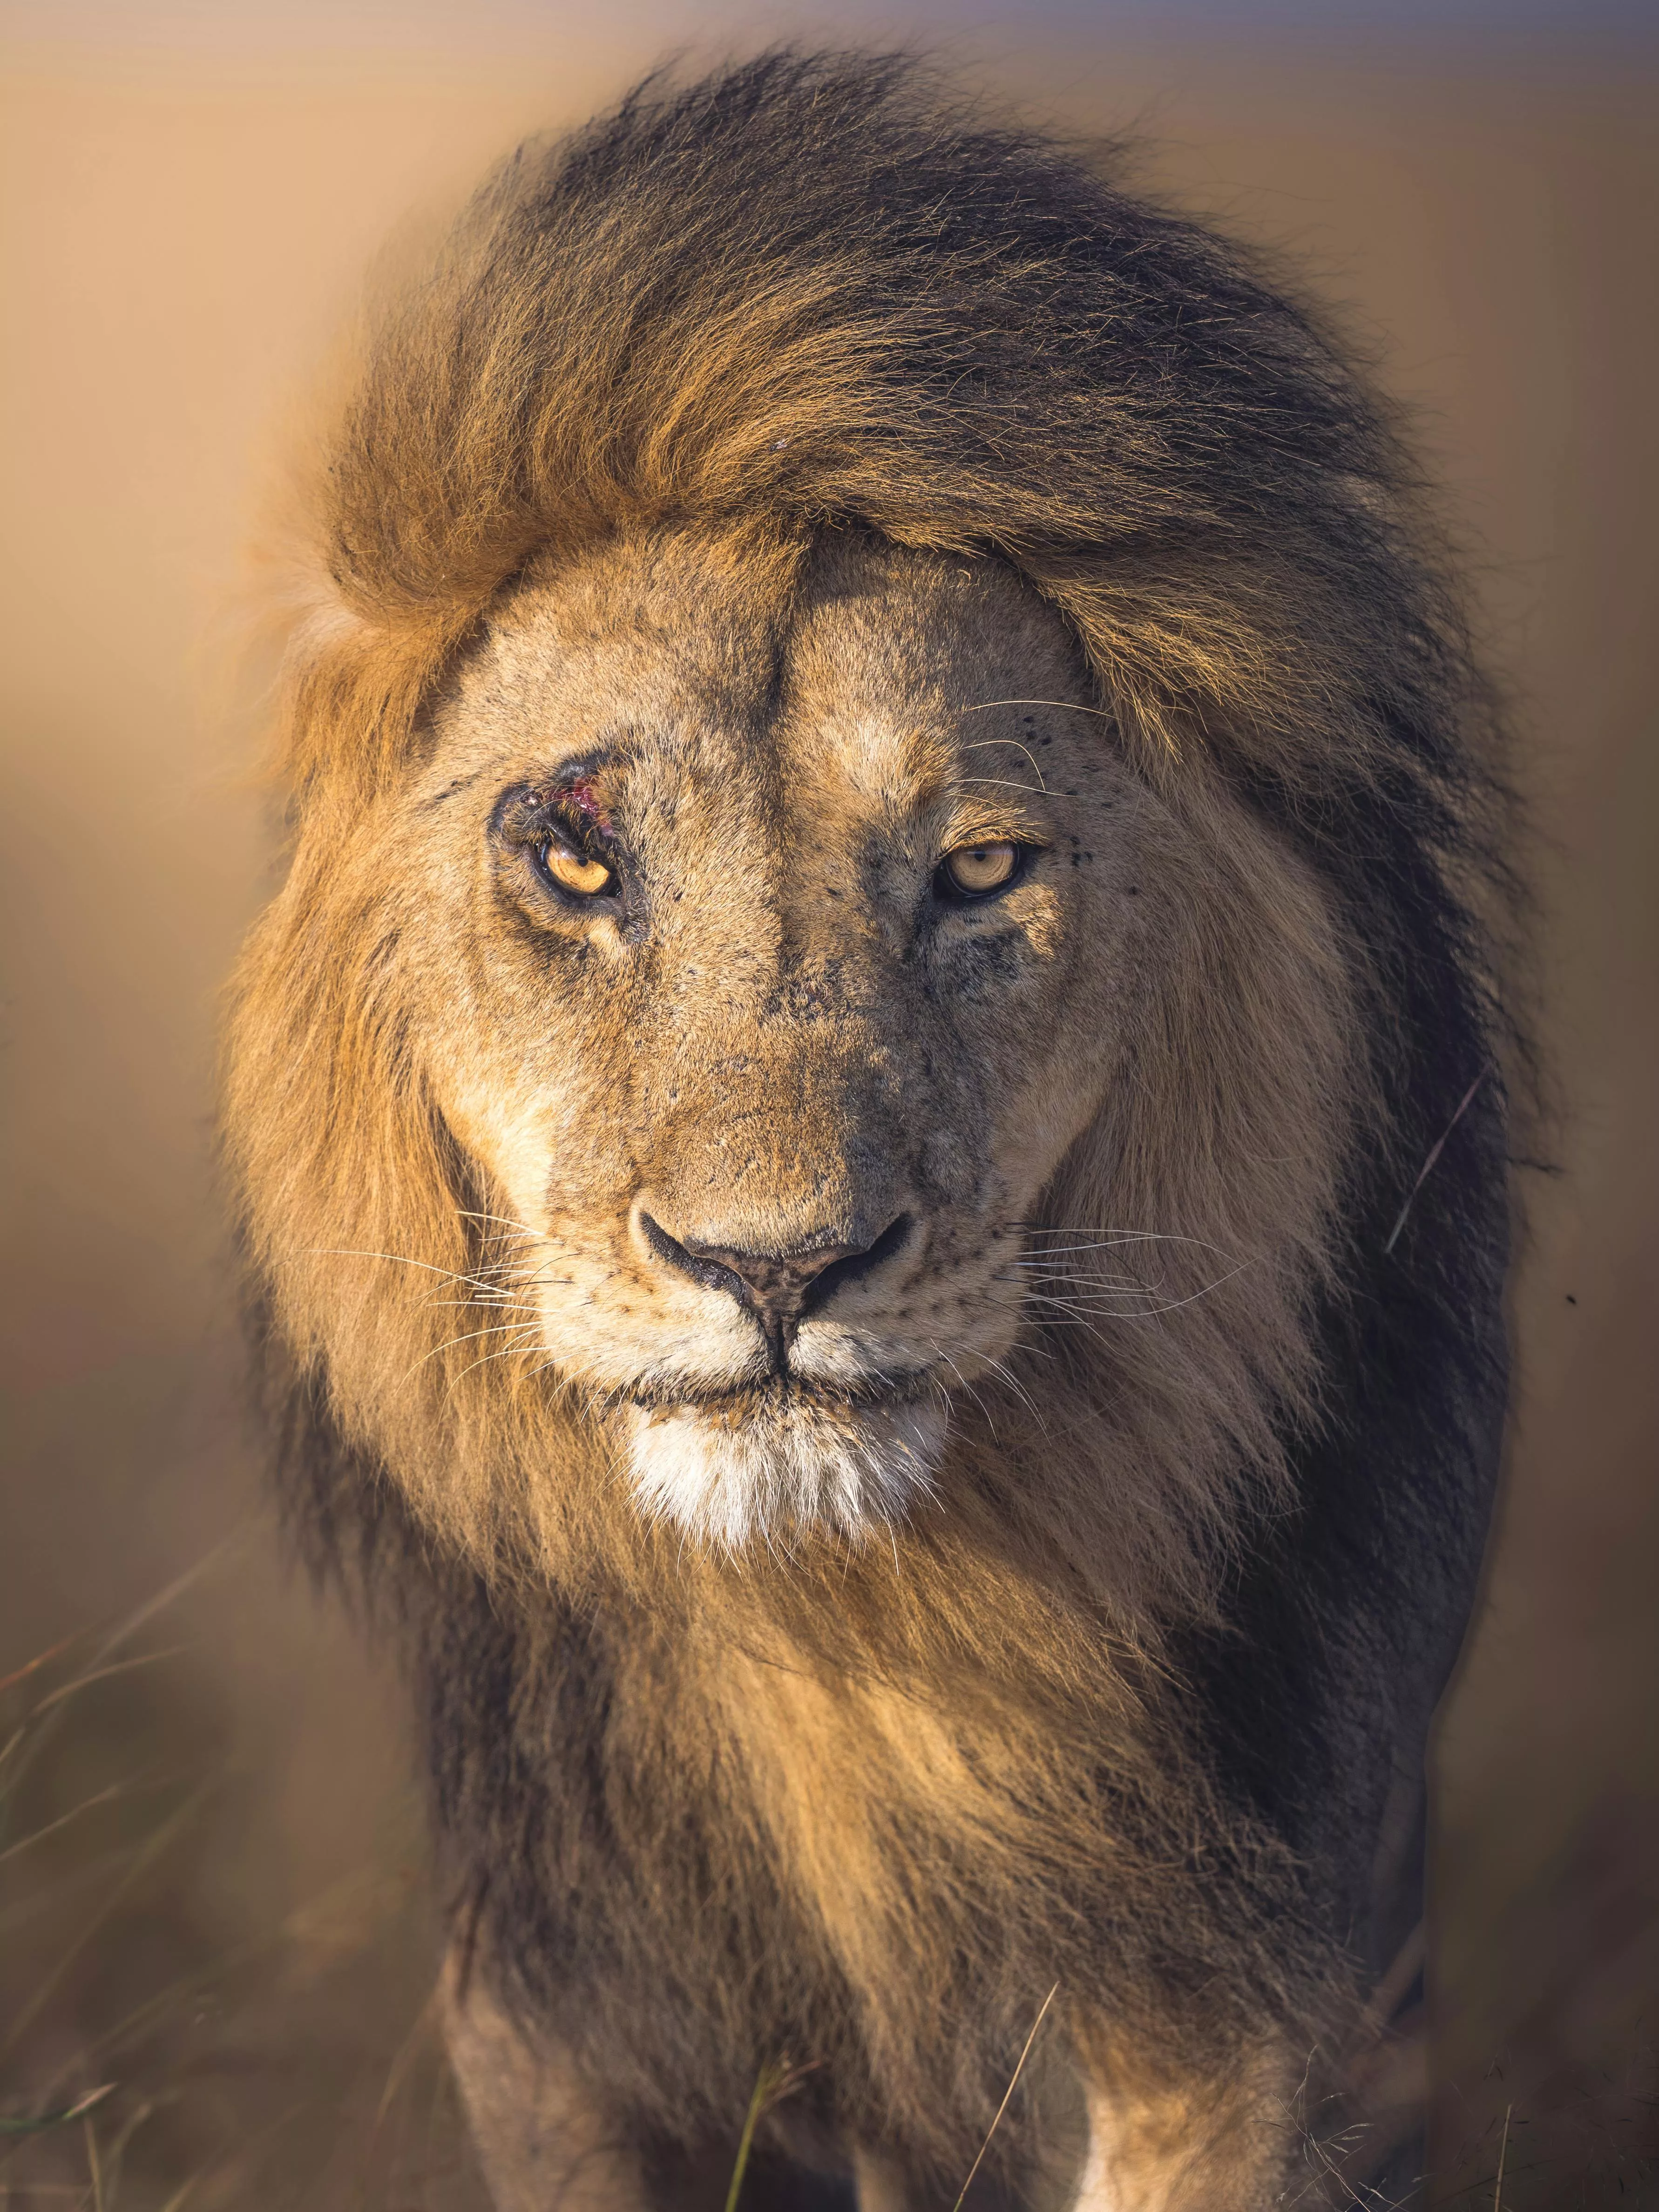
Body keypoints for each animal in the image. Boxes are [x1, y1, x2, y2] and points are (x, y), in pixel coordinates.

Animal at [222, 50, 1516, 2212]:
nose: (775, 1266)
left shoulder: (1266, 1998)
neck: (850, 1647)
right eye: (574, 852)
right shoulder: (555, 2012)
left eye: (976, 868)